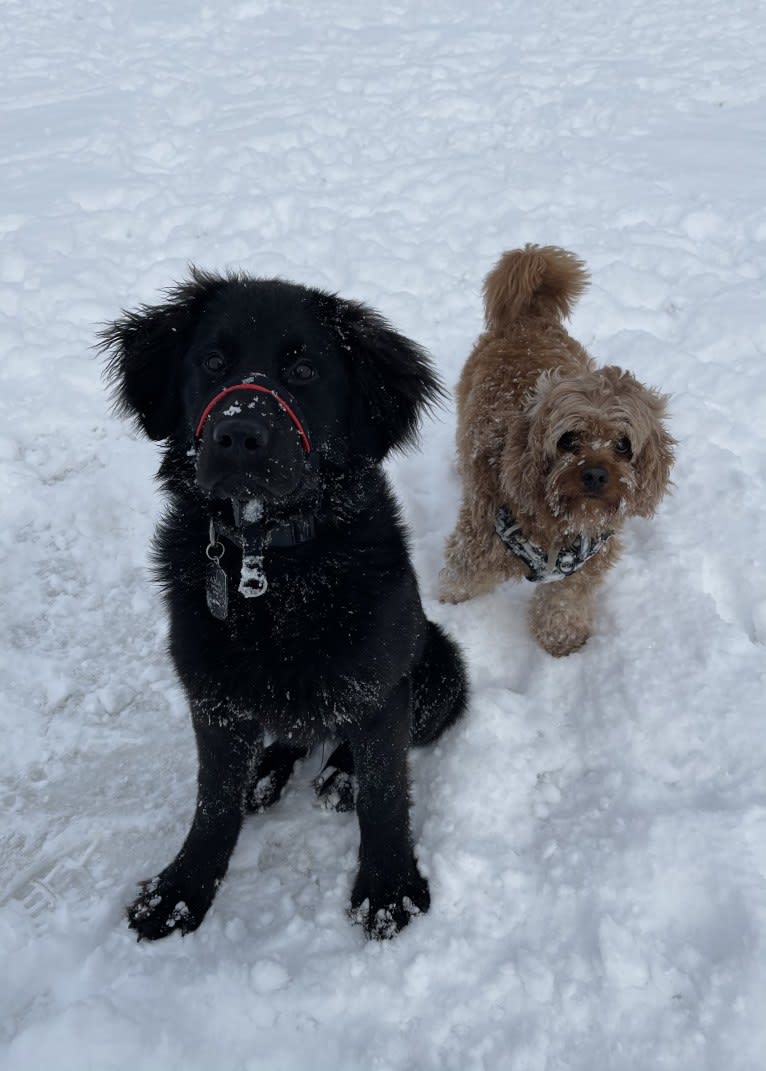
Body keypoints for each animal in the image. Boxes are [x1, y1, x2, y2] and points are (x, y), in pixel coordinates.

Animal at [101, 272, 467, 942]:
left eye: (303, 370)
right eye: (212, 362)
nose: (239, 436)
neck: (271, 567)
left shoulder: (378, 684)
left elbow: (384, 791)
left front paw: (389, 890)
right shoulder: (212, 695)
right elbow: (213, 802)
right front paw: (181, 892)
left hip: (439, 669)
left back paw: (339, 774)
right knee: (291, 736)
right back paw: (265, 773)